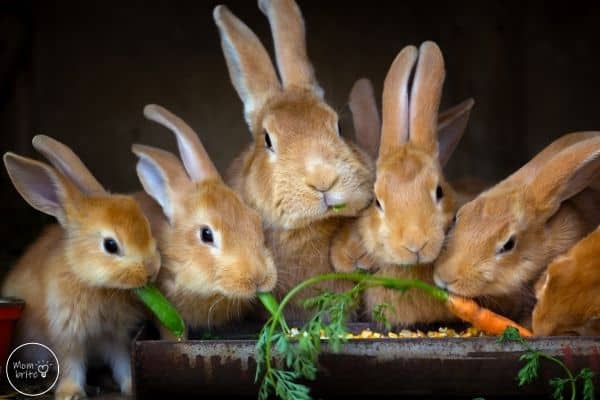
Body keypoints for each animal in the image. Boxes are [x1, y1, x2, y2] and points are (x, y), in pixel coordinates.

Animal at [2, 136, 161, 398]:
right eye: (110, 245)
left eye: (147, 227)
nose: (152, 270)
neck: (93, 283)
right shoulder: (67, 335)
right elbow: (71, 364)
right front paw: (70, 393)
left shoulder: (115, 336)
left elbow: (121, 362)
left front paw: (129, 386)